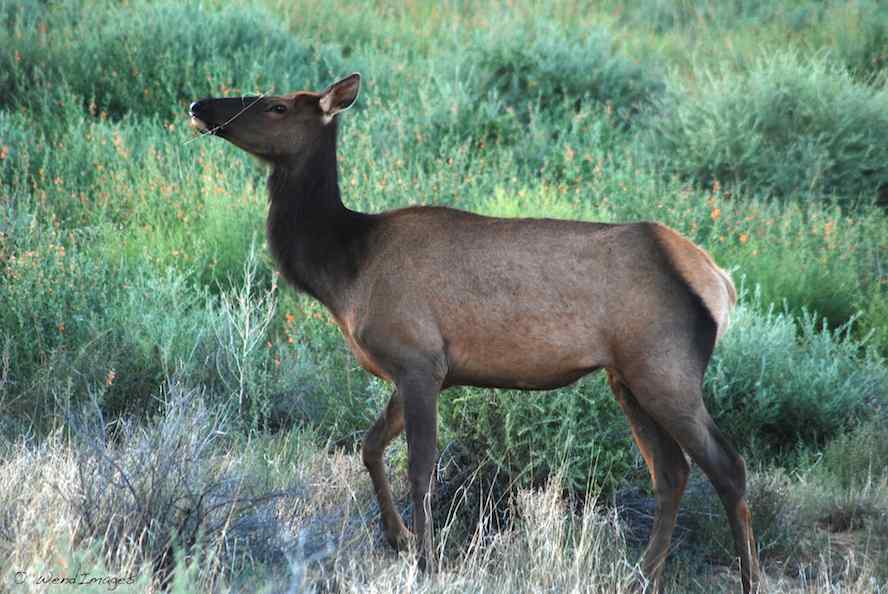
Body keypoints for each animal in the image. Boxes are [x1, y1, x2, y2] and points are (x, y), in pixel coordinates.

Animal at [191, 75, 760, 592]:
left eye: (278, 105)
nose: (199, 107)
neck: (344, 270)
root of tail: (719, 281)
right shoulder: (422, 370)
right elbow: (370, 447)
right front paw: (397, 539)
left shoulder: (418, 359)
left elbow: (420, 468)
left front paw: (426, 560)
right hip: (628, 377)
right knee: (672, 471)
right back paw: (643, 574)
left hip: (665, 367)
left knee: (728, 466)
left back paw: (746, 577)